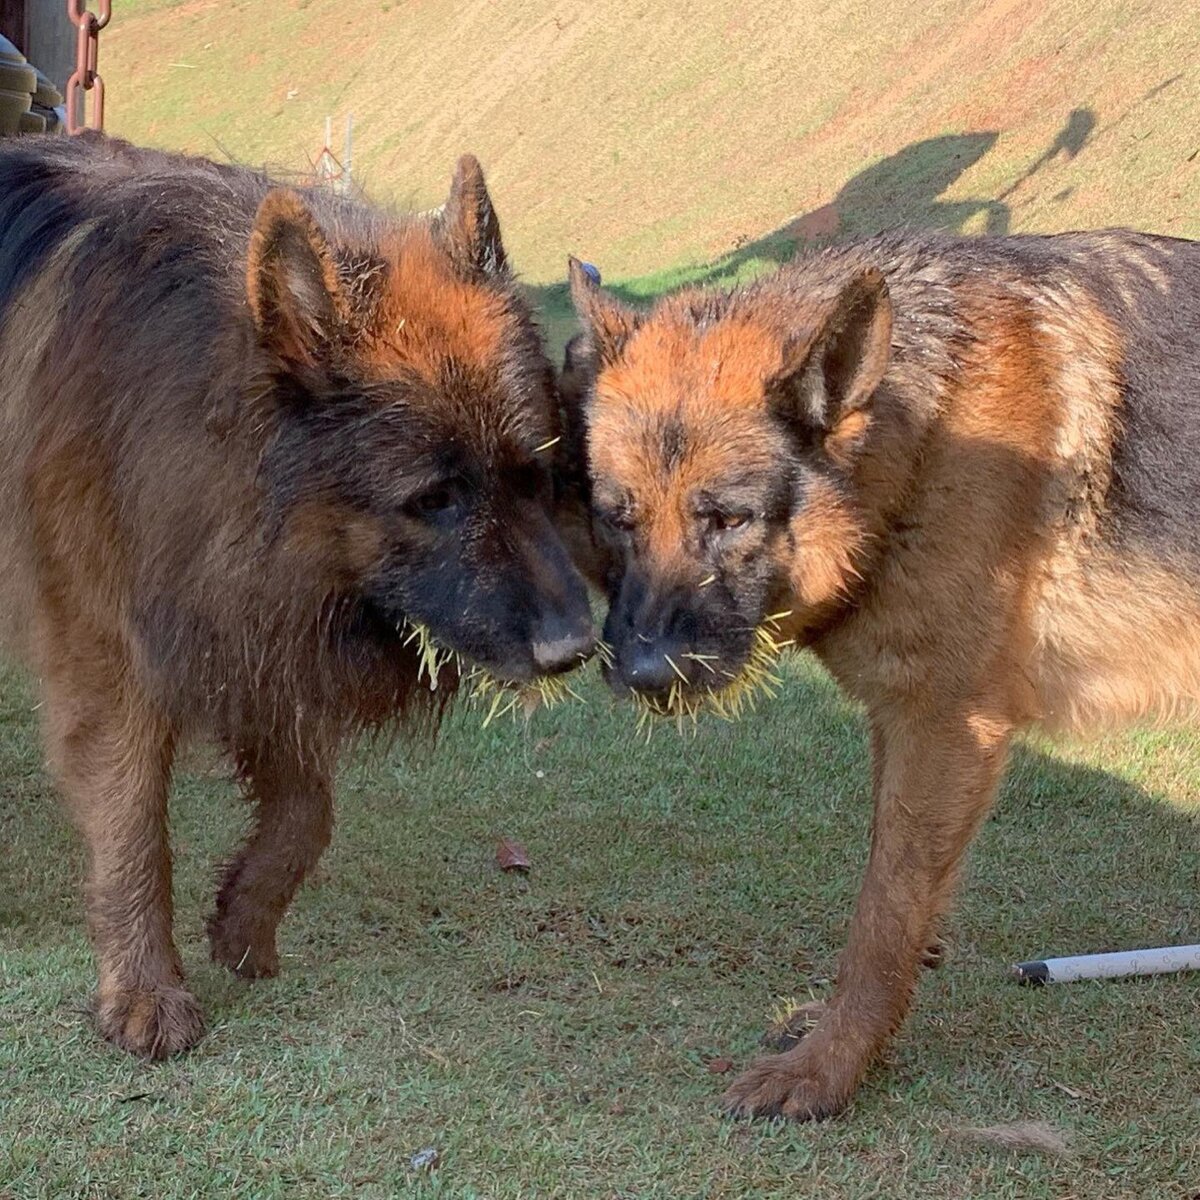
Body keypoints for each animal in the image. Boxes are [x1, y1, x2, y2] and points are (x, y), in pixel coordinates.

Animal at [0, 133, 595, 1060]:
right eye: (434, 498)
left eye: (534, 473)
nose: (577, 648)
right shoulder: (117, 661)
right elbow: (134, 828)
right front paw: (144, 989)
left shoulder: (256, 623)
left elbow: (309, 810)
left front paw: (245, 920)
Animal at [566, 229, 1200, 1118]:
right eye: (616, 519)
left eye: (728, 519)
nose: (642, 675)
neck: (920, 442)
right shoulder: (895, 721)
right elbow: (889, 887)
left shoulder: (946, 726)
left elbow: (882, 917)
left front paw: (829, 1068)